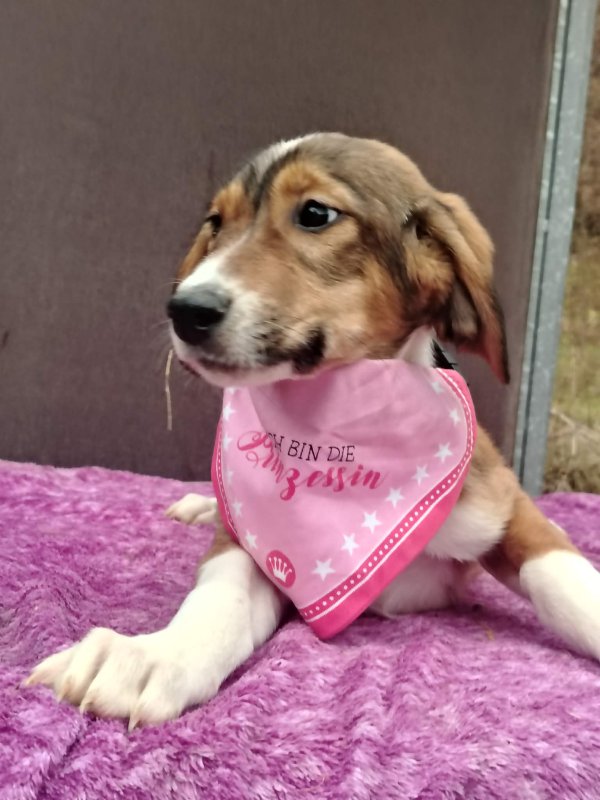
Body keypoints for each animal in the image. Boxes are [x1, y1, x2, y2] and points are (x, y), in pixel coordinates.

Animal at [26, 133, 600, 728]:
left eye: (316, 213)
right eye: (216, 221)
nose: (184, 309)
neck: (340, 428)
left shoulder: (505, 506)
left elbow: (567, 584)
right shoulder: (251, 549)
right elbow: (219, 599)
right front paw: (153, 656)